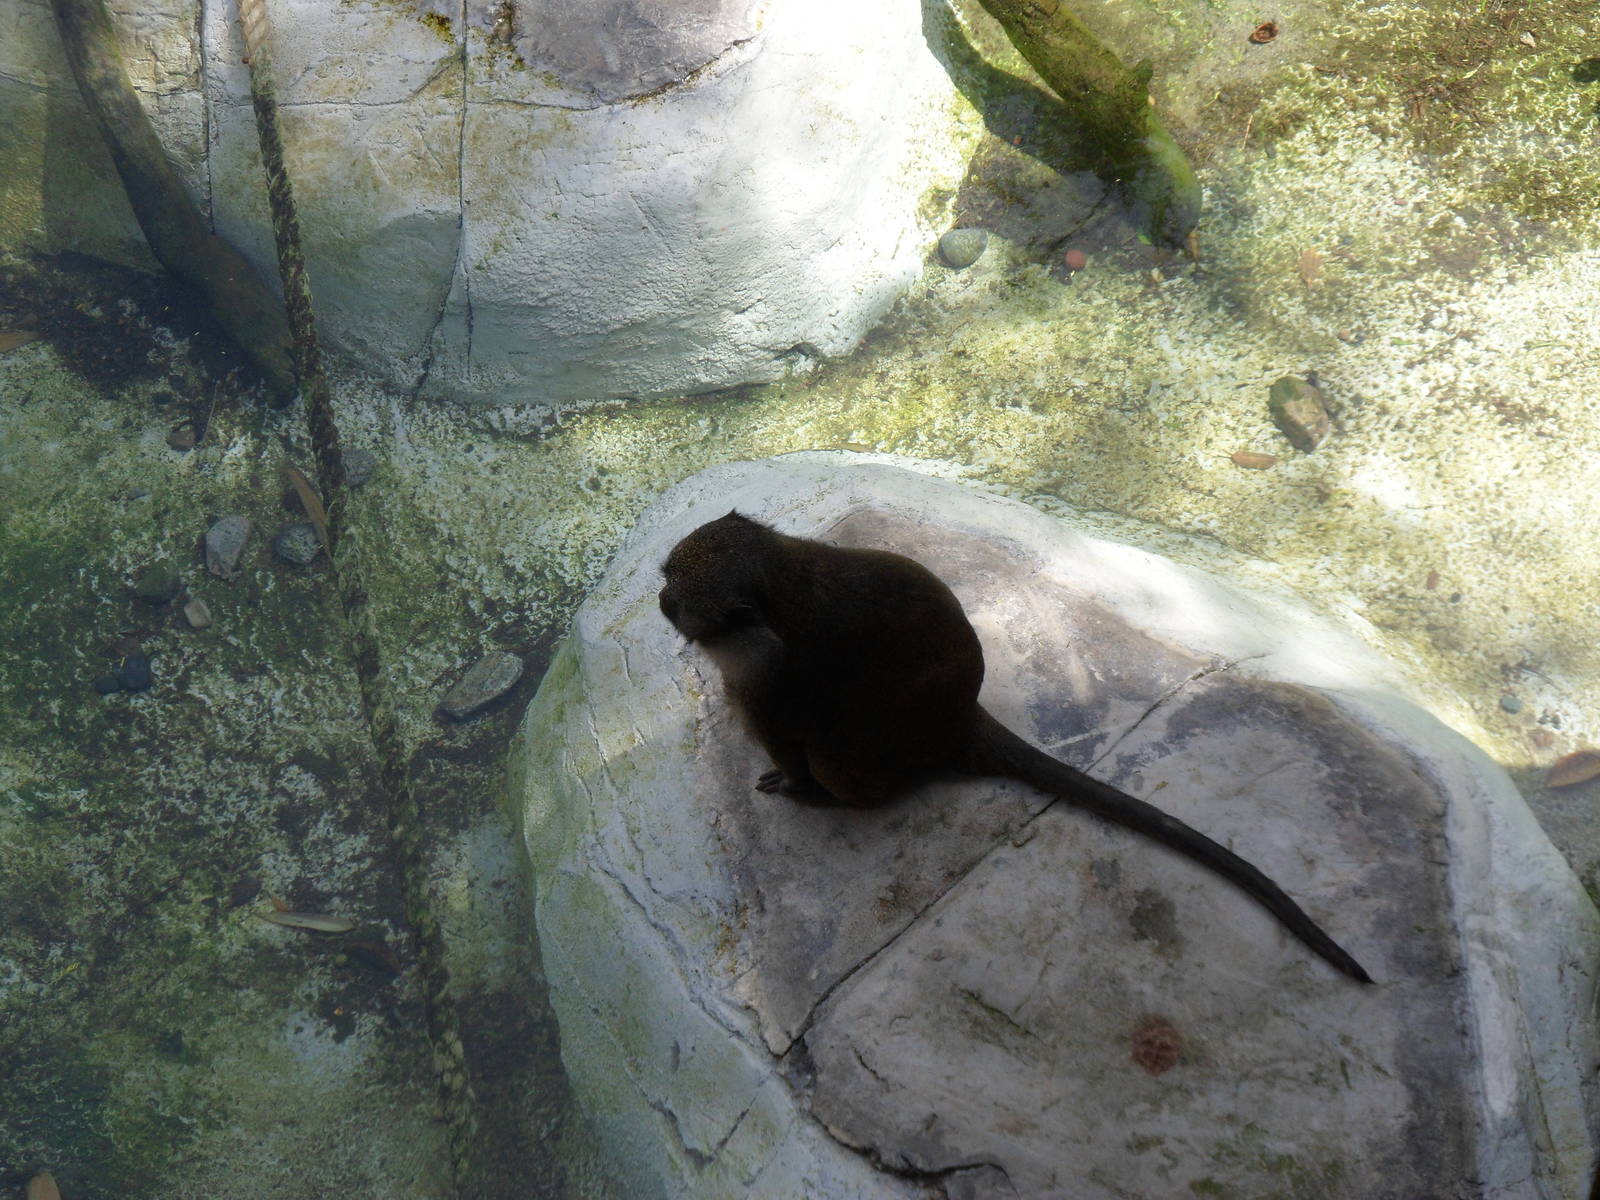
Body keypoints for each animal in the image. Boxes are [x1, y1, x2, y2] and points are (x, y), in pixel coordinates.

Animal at [657, 510, 1372, 983]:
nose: (661, 599)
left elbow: (783, 741)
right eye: (665, 581)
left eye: (678, 599)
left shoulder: (766, 691)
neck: (783, 577)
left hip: (873, 752)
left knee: (838, 762)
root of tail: (960, 724)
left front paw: (796, 786)